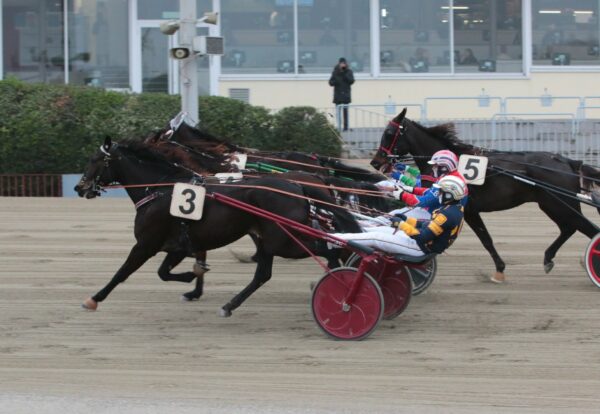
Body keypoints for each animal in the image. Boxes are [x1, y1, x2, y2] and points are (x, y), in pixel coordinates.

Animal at [370, 108, 600, 284]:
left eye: (389, 132)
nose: (375, 161)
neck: (453, 164)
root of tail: (569, 162)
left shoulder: (470, 210)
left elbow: (486, 239)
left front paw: (499, 270)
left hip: (558, 204)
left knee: (586, 229)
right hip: (552, 205)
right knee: (569, 228)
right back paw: (548, 259)